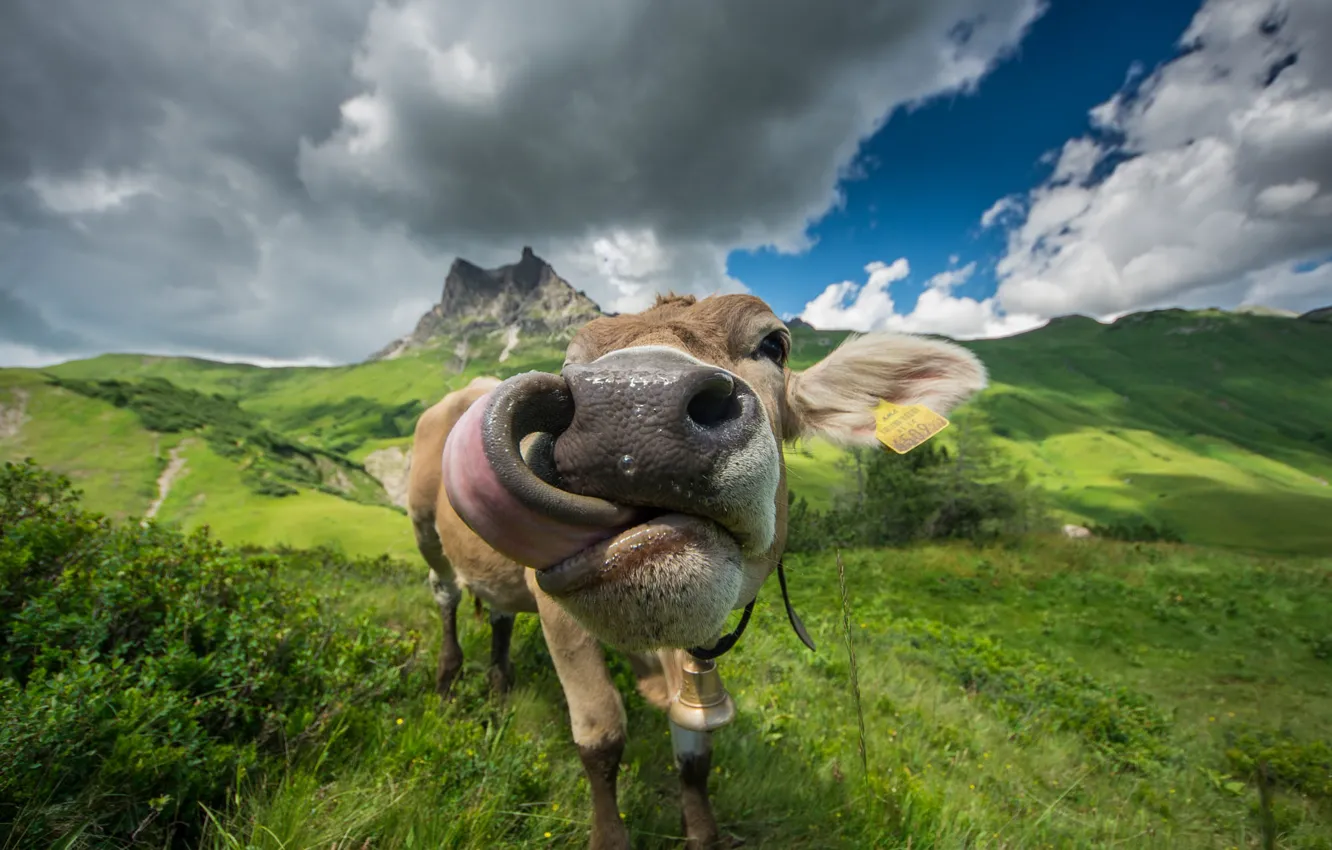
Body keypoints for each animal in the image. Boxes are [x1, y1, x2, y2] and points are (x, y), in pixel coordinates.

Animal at [407, 291, 991, 847]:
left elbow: (694, 747)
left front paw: (703, 830)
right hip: (423, 525)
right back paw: (448, 681)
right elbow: (601, 735)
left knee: (499, 611)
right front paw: (609, 835)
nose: (631, 403)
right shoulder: (558, 614)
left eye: (774, 345)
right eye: (570, 361)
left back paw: (500, 685)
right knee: (445, 592)